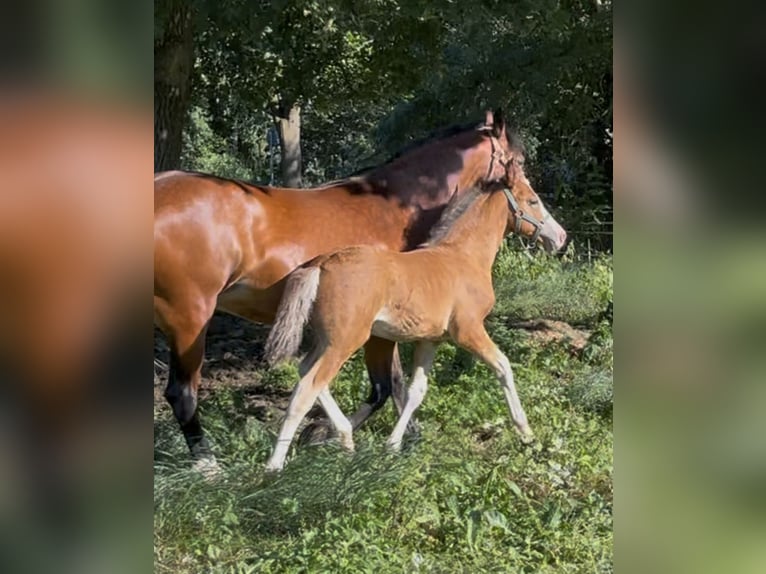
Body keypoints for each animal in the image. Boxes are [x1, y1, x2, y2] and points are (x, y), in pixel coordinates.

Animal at [154, 109, 529, 474]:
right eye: (519, 161)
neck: (392, 206)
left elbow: (382, 386)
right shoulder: (380, 329)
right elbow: (386, 386)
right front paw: (357, 436)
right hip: (190, 318)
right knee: (181, 393)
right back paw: (208, 464)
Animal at [262, 174, 568, 471]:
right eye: (533, 200)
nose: (560, 237)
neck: (463, 257)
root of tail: (322, 263)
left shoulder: (430, 340)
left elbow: (416, 391)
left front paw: (393, 445)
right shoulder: (468, 331)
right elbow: (503, 366)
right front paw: (526, 431)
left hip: (326, 340)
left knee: (307, 373)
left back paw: (346, 440)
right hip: (345, 341)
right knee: (307, 388)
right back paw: (274, 466)